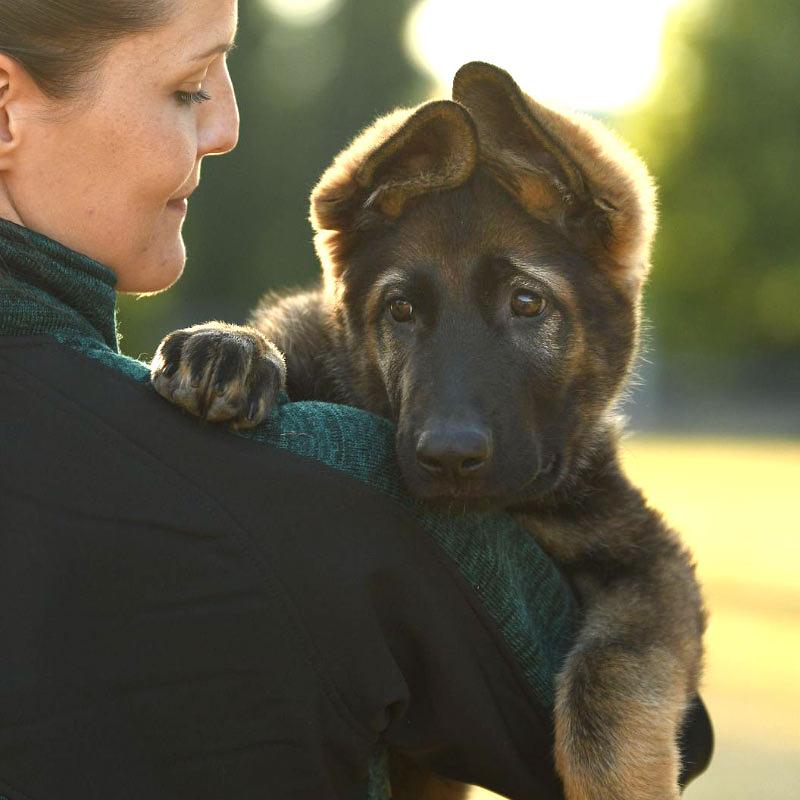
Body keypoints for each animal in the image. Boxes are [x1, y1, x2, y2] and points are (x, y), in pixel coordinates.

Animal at [152, 64, 708, 800]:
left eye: (527, 303)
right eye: (401, 310)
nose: (448, 455)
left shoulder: (647, 559)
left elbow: (611, 671)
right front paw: (230, 345)